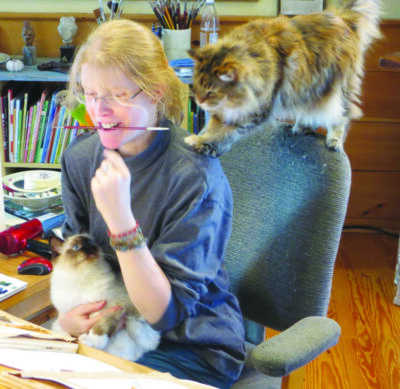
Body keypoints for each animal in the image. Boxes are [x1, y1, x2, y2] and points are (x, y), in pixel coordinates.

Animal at [50, 232, 161, 360]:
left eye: (92, 243)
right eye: (76, 247)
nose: (90, 247)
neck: (84, 276)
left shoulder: (112, 306)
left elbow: (101, 324)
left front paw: (96, 338)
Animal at [187, 0, 382, 156]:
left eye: (211, 92)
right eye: (196, 86)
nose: (199, 101)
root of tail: (340, 17)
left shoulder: (256, 110)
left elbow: (224, 131)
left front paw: (205, 143)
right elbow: (214, 125)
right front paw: (200, 138)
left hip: (337, 89)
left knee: (341, 116)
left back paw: (334, 140)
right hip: (308, 88)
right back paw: (301, 126)